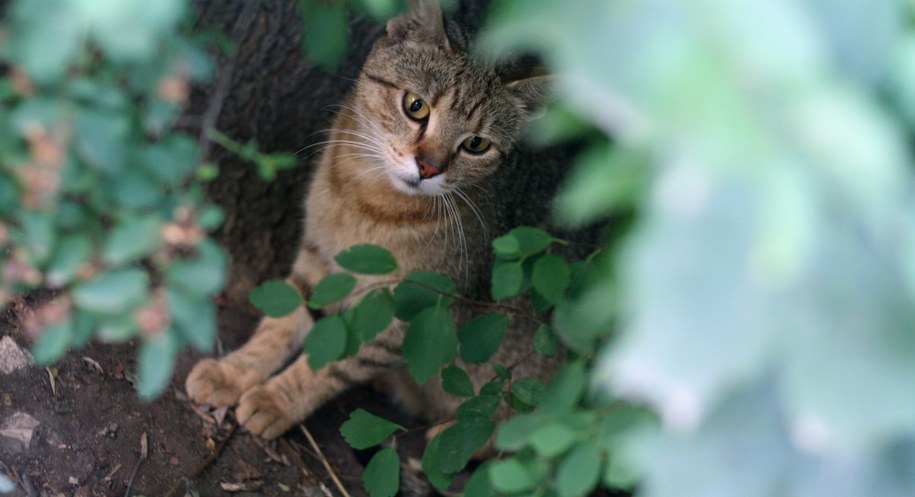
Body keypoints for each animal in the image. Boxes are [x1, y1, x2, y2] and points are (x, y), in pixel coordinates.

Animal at [184, 0, 572, 440]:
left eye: (476, 144)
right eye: (416, 105)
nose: (428, 167)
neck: (368, 201)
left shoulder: (402, 311)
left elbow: (331, 363)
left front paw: (275, 400)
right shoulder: (318, 255)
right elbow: (280, 323)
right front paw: (233, 372)